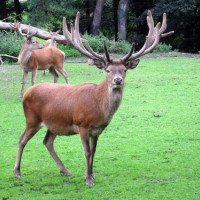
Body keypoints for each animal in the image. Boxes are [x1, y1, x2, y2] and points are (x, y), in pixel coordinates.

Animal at [14, 10, 173, 186]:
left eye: (124, 70)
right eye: (108, 70)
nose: (118, 80)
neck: (98, 106)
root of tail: (27, 93)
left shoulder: (98, 130)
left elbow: (95, 152)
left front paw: (90, 175)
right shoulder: (82, 125)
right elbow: (87, 152)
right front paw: (89, 179)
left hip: (53, 123)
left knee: (47, 142)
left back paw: (65, 170)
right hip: (32, 119)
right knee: (22, 139)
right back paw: (17, 172)